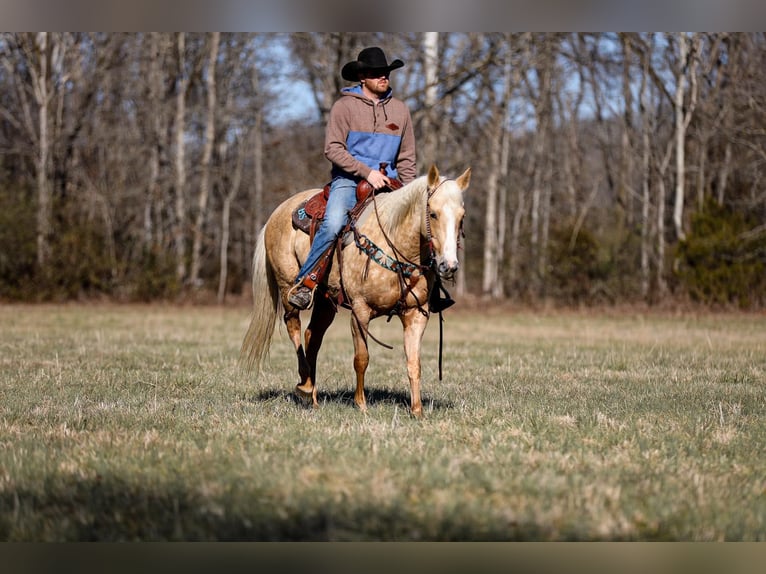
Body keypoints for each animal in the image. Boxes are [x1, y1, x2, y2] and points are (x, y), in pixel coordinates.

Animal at [240, 165, 472, 418]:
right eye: (433, 214)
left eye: (462, 217)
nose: (448, 266)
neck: (396, 244)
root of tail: (276, 213)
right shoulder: (360, 311)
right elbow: (361, 358)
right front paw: (361, 404)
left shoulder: (415, 314)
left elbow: (414, 363)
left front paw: (417, 410)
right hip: (287, 287)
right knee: (294, 327)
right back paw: (305, 385)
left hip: (326, 300)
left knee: (313, 335)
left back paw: (312, 396)